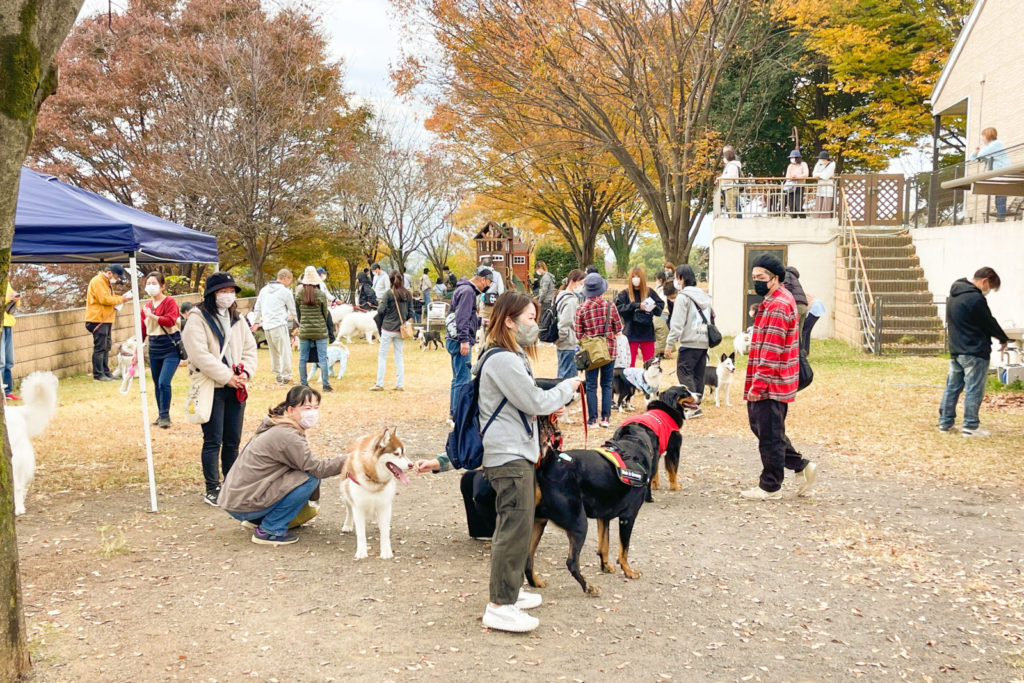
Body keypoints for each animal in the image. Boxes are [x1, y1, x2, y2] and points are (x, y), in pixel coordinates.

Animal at [340, 427, 413, 559]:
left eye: (404, 453)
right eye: (396, 454)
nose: (412, 465)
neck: (373, 479)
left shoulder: (385, 505)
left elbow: (385, 533)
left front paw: (386, 551)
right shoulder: (358, 507)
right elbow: (361, 533)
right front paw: (361, 552)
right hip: (345, 493)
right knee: (349, 510)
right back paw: (347, 525)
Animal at [526, 385, 699, 595]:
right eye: (685, 392)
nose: (699, 394)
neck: (632, 446)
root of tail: (549, 464)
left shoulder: (604, 516)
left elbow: (604, 545)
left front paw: (606, 566)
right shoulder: (628, 517)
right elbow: (623, 550)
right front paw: (628, 571)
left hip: (539, 522)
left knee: (527, 560)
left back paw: (535, 582)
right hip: (578, 523)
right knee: (571, 562)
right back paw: (588, 587)